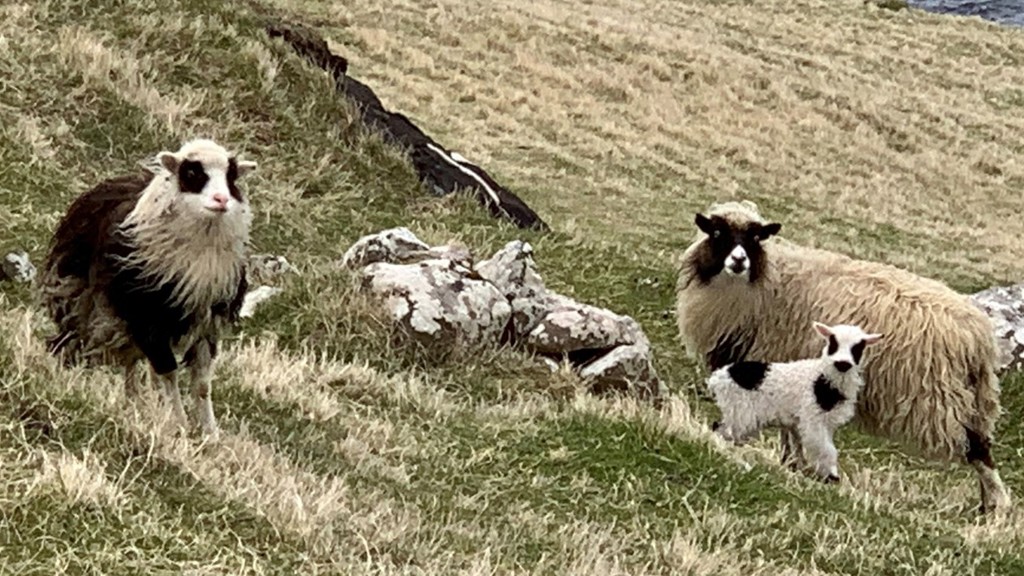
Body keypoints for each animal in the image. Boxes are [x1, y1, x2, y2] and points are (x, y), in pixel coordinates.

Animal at [39, 136, 256, 436]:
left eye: (231, 177)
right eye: (192, 173)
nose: (221, 199)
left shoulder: (207, 324)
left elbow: (202, 383)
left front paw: (210, 433)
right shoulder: (148, 320)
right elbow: (168, 371)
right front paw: (180, 424)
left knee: (130, 360)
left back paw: (134, 401)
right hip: (82, 303)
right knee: (75, 342)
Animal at [708, 319, 884, 481]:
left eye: (858, 347)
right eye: (833, 342)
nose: (843, 364)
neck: (823, 380)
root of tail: (718, 377)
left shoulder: (819, 423)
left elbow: (806, 448)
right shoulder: (812, 419)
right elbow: (826, 449)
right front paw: (831, 476)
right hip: (740, 412)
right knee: (722, 431)